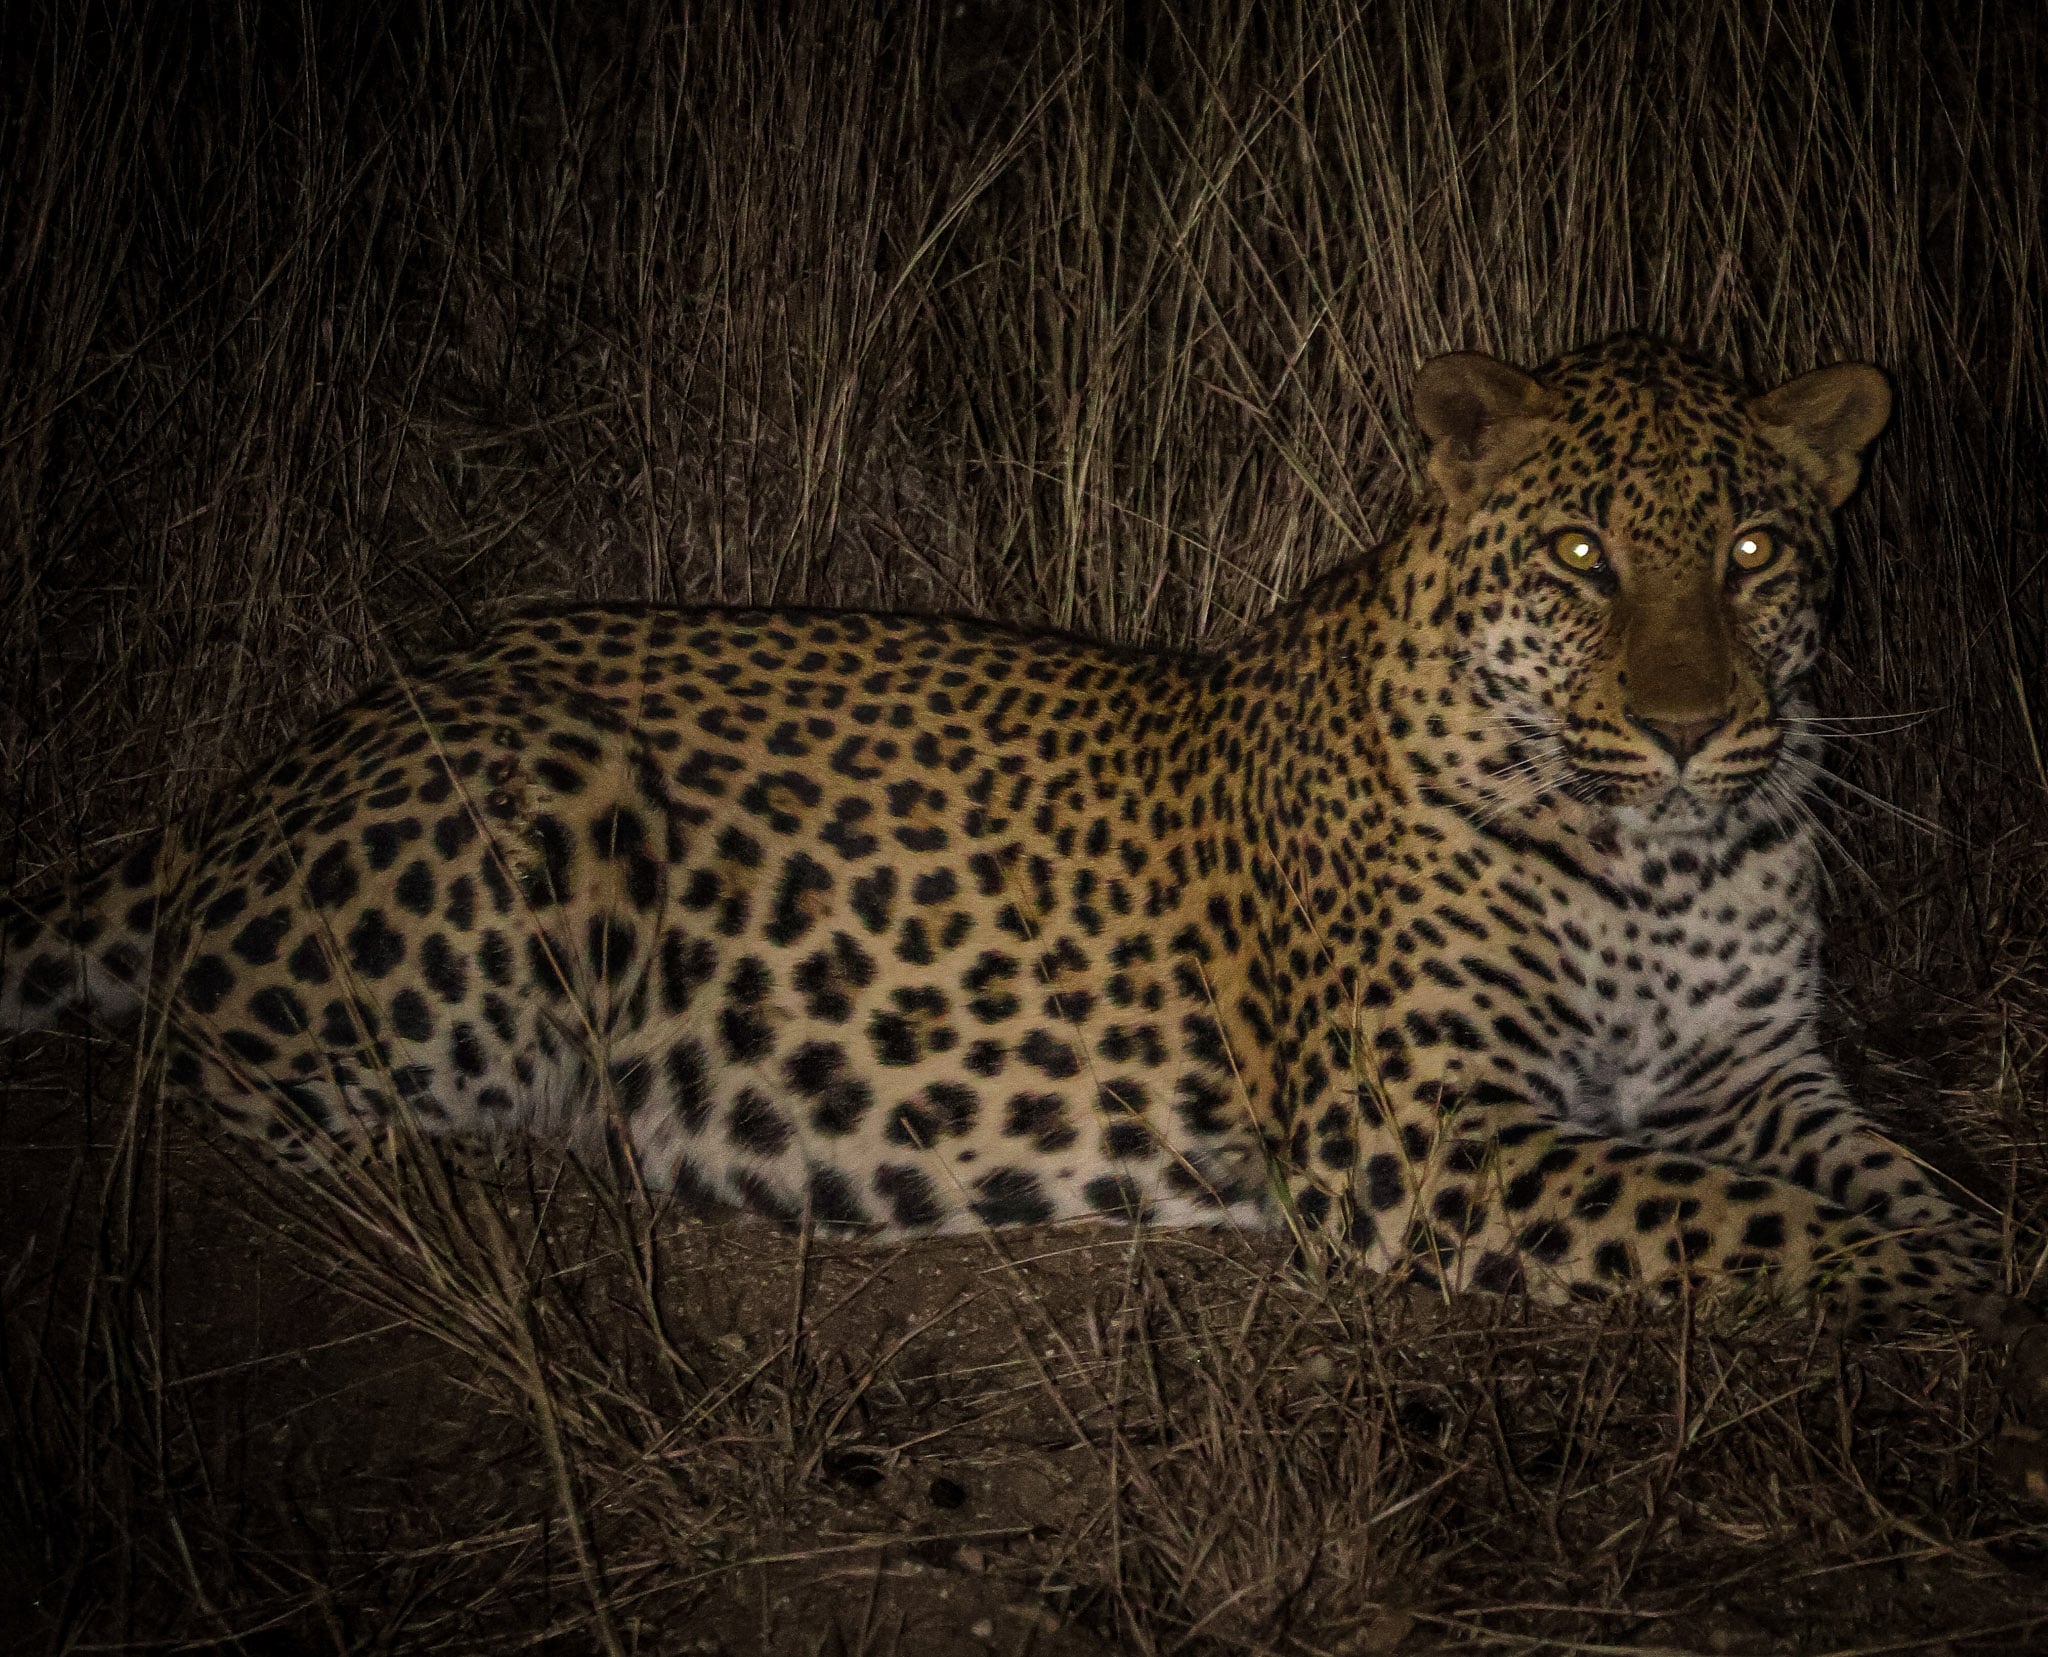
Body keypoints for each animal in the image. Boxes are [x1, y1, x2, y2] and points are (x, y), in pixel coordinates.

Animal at [6, 333, 2045, 1397]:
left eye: (1759, 553)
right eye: (1576, 561)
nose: (1698, 728)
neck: (1656, 857)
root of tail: (273, 764)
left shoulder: (1755, 1073)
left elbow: (1890, 1174)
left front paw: (1989, 1247)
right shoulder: (1421, 1129)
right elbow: (1746, 1221)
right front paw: (1947, 1297)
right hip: (529, 805)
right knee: (234, 1073)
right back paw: (557, 1170)